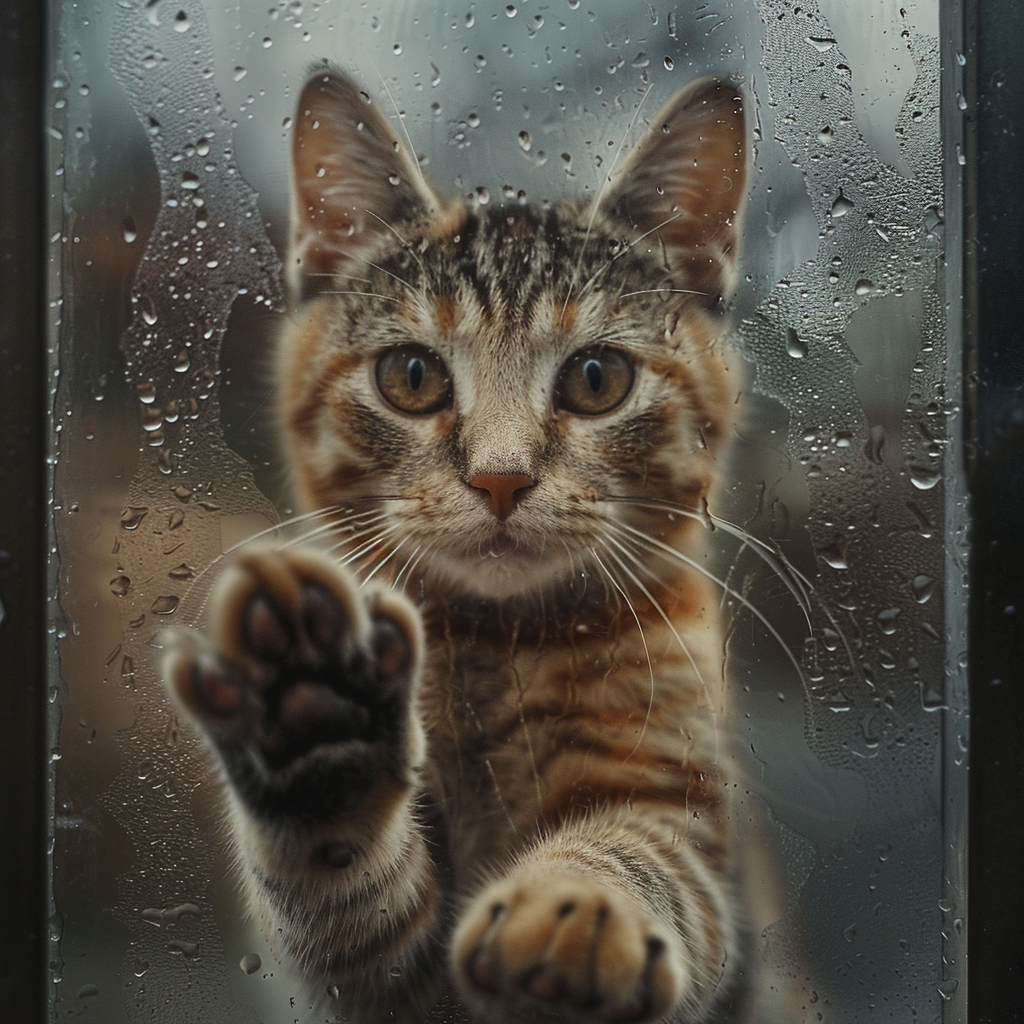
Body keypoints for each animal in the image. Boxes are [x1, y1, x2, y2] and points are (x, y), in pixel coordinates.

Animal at [163, 68, 782, 1019]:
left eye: (595, 379)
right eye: (413, 376)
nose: (499, 478)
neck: (496, 646)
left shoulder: (685, 808)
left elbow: (649, 855)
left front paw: (577, 907)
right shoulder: (388, 983)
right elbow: (352, 910)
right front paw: (314, 720)